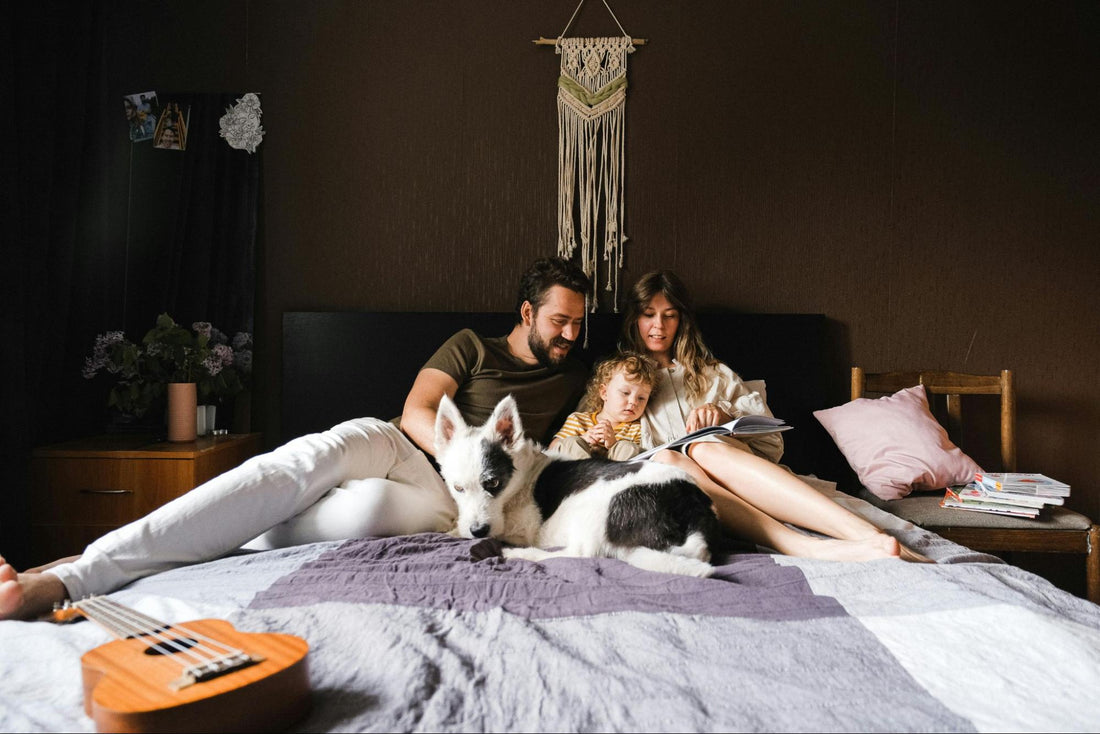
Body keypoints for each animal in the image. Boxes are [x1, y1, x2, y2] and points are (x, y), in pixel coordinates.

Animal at [429, 393, 721, 576]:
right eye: (457, 488)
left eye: (493, 482)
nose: (478, 531)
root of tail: (693, 508)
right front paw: (457, 529)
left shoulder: (526, 529)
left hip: (595, 510)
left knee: (577, 554)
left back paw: (518, 554)